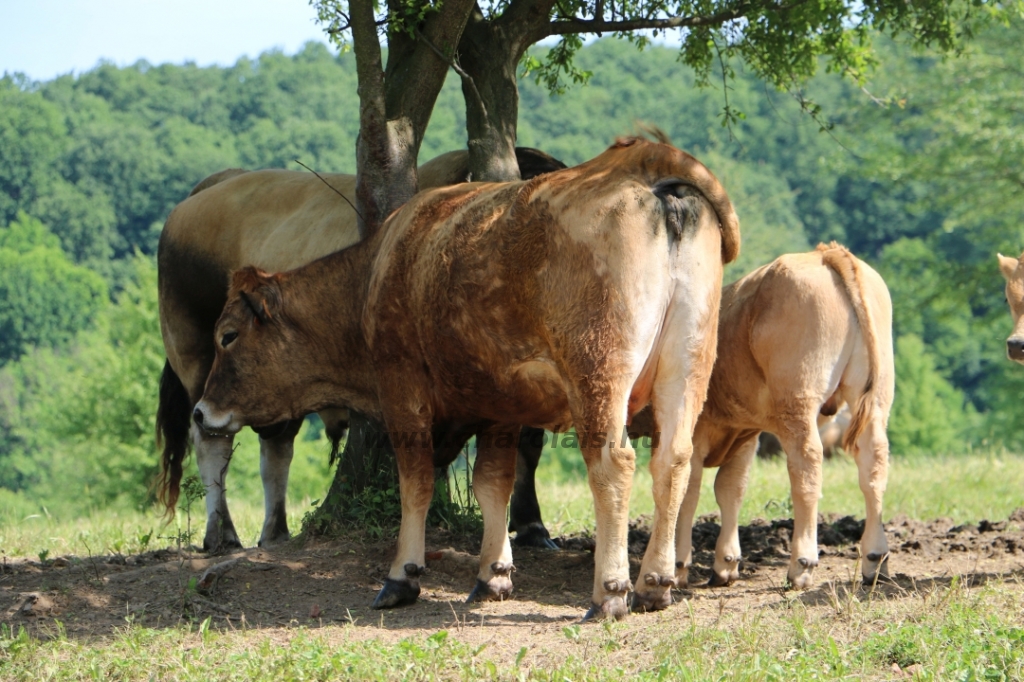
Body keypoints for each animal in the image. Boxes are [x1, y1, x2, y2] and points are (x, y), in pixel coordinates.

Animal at [157, 146, 569, 548]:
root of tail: (214, 186)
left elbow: (527, 441)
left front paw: (531, 525)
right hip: (201, 364)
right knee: (212, 439)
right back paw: (222, 533)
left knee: (276, 449)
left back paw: (275, 532)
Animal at [667, 244, 892, 589]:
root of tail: (824, 253)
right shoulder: (745, 436)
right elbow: (730, 490)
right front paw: (725, 564)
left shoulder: (696, 435)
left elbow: (688, 492)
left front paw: (679, 565)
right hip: (876, 398)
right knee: (873, 463)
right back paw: (874, 559)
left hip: (797, 402)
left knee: (806, 467)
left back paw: (802, 563)